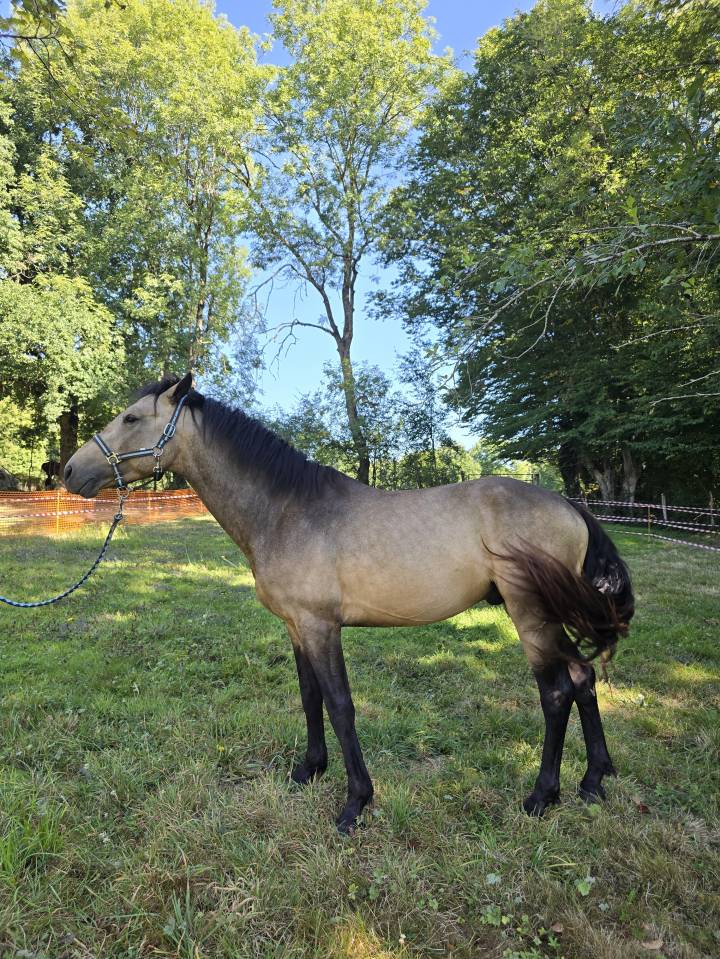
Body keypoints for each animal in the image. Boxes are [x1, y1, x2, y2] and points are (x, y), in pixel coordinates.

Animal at [64, 373, 634, 833]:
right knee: (583, 677)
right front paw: (309, 770)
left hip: (531, 617)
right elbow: (310, 697)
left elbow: (340, 705)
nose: (68, 471)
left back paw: (542, 796)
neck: (288, 511)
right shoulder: (297, 627)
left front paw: (355, 802)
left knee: (557, 692)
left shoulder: (321, 626)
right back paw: (593, 780)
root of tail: (571, 506)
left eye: (131, 418)